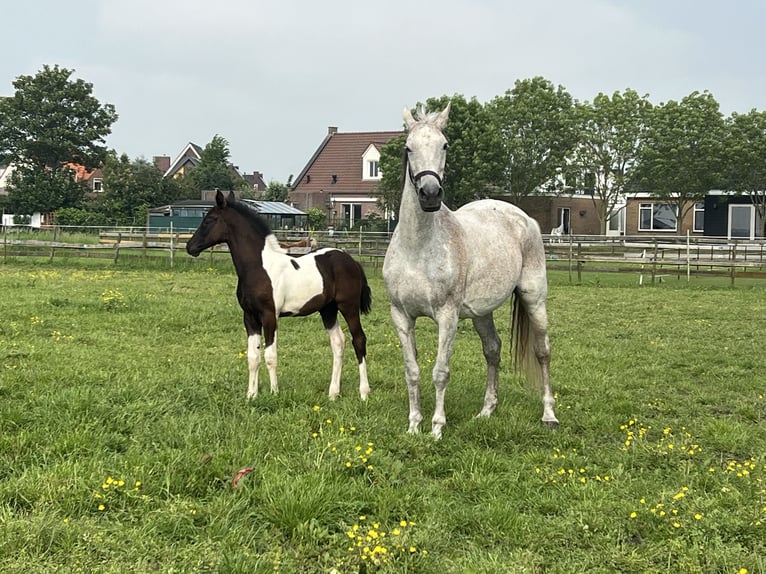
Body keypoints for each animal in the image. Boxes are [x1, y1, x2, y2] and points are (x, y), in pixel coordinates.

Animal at [189, 191, 376, 402]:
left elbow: (270, 356)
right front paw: (251, 395)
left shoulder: (270, 315)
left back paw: (364, 393)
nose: (190, 247)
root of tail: (352, 261)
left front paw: (274, 393)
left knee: (359, 340)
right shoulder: (250, 317)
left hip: (348, 307)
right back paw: (333, 393)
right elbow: (253, 357)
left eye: (209, 220)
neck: (259, 267)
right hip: (328, 310)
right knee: (338, 343)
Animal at [382, 103, 560, 438]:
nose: (430, 194)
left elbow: (440, 372)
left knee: (542, 351)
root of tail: (525, 218)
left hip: (534, 298)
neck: (418, 247)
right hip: (482, 312)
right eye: (408, 147)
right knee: (493, 349)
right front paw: (413, 425)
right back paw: (486, 411)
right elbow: (412, 371)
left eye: (445, 145)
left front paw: (437, 428)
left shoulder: (447, 316)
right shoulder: (401, 315)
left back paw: (549, 415)